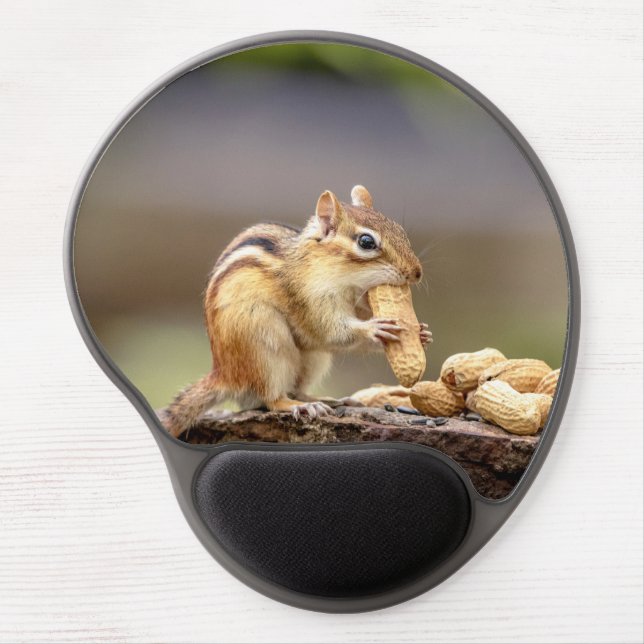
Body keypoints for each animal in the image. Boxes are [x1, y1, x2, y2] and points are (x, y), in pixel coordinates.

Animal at [162, 185, 431, 438]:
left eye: (400, 231)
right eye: (366, 242)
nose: (417, 273)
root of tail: (224, 374)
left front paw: (422, 333)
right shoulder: (309, 299)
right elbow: (333, 332)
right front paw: (374, 328)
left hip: (313, 359)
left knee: (296, 388)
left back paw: (324, 400)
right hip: (264, 344)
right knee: (271, 398)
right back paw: (297, 406)